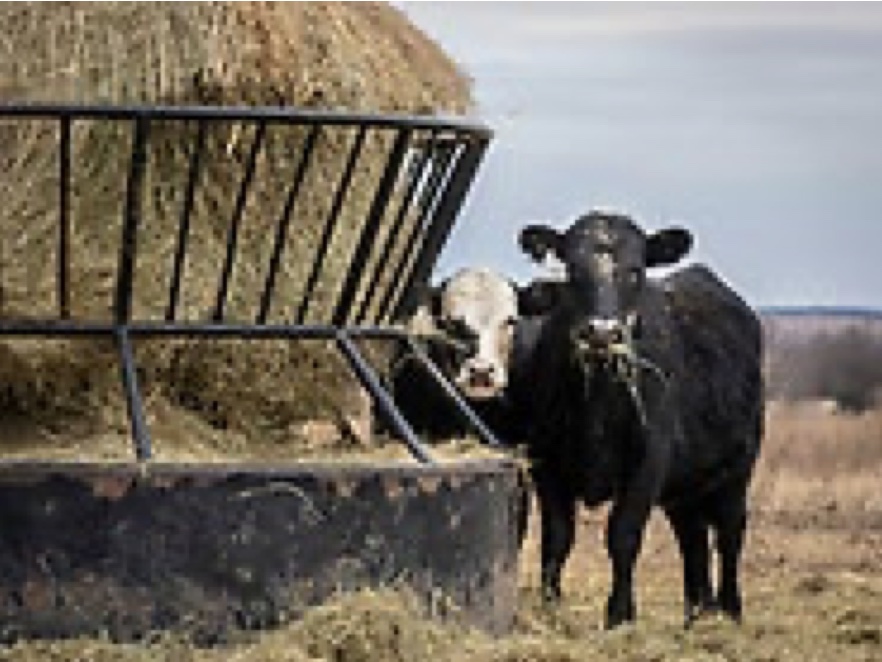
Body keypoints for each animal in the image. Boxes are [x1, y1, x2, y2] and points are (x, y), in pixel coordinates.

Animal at [516, 210, 764, 632]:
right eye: (573, 270)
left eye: (635, 271)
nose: (602, 333)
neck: (597, 403)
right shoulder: (546, 463)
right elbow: (557, 538)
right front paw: (551, 608)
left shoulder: (647, 463)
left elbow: (623, 535)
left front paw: (619, 615)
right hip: (684, 488)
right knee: (693, 540)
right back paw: (697, 612)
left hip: (737, 471)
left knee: (730, 533)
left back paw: (729, 610)